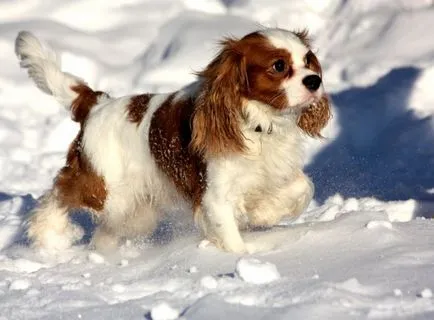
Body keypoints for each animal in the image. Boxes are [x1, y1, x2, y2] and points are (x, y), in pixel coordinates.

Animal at [15, 28, 330, 252]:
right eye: (278, 66)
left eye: (308, 60)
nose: (314, 80)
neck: (259, 123)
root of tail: (97, 104)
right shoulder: (215, 195)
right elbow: (231, 236)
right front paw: (242, 256)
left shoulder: (272, 173)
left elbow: (304, 188)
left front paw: (264, 214)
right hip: (103, 187)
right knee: (60, 193)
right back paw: (50, 236)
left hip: (134, 210)